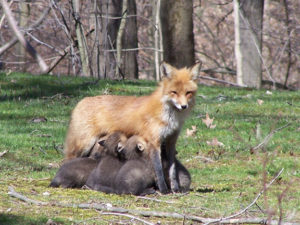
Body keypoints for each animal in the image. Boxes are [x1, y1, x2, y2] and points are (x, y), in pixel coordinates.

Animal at [64, 62, 200, 193]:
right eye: (174, 92)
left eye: (188, 93)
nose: (184, 106)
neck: (170, 116)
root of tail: (82, 101)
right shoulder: (154, 142)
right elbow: (159, 169)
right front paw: (163, 190)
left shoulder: (171, 141)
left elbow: (172, 170)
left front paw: (175, 188)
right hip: (83, 145)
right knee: (67, 160)